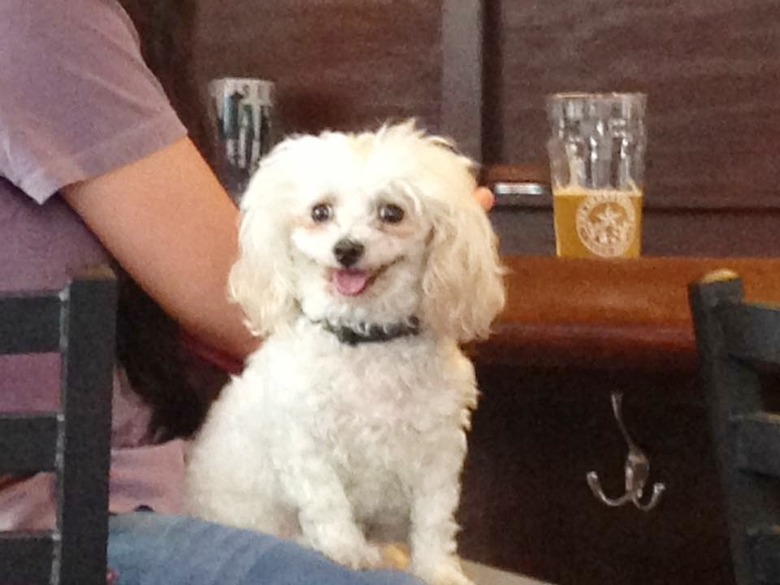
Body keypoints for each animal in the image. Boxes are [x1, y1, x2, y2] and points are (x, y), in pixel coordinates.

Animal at [187, 120, 508, 584]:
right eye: (320, 212)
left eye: (392, 213)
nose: (347, 249)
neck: (366, 339)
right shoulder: (305, 443)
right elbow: (327, 503)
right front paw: (347, 550)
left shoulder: (438, 452)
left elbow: (433, 521)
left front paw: (438, 570)